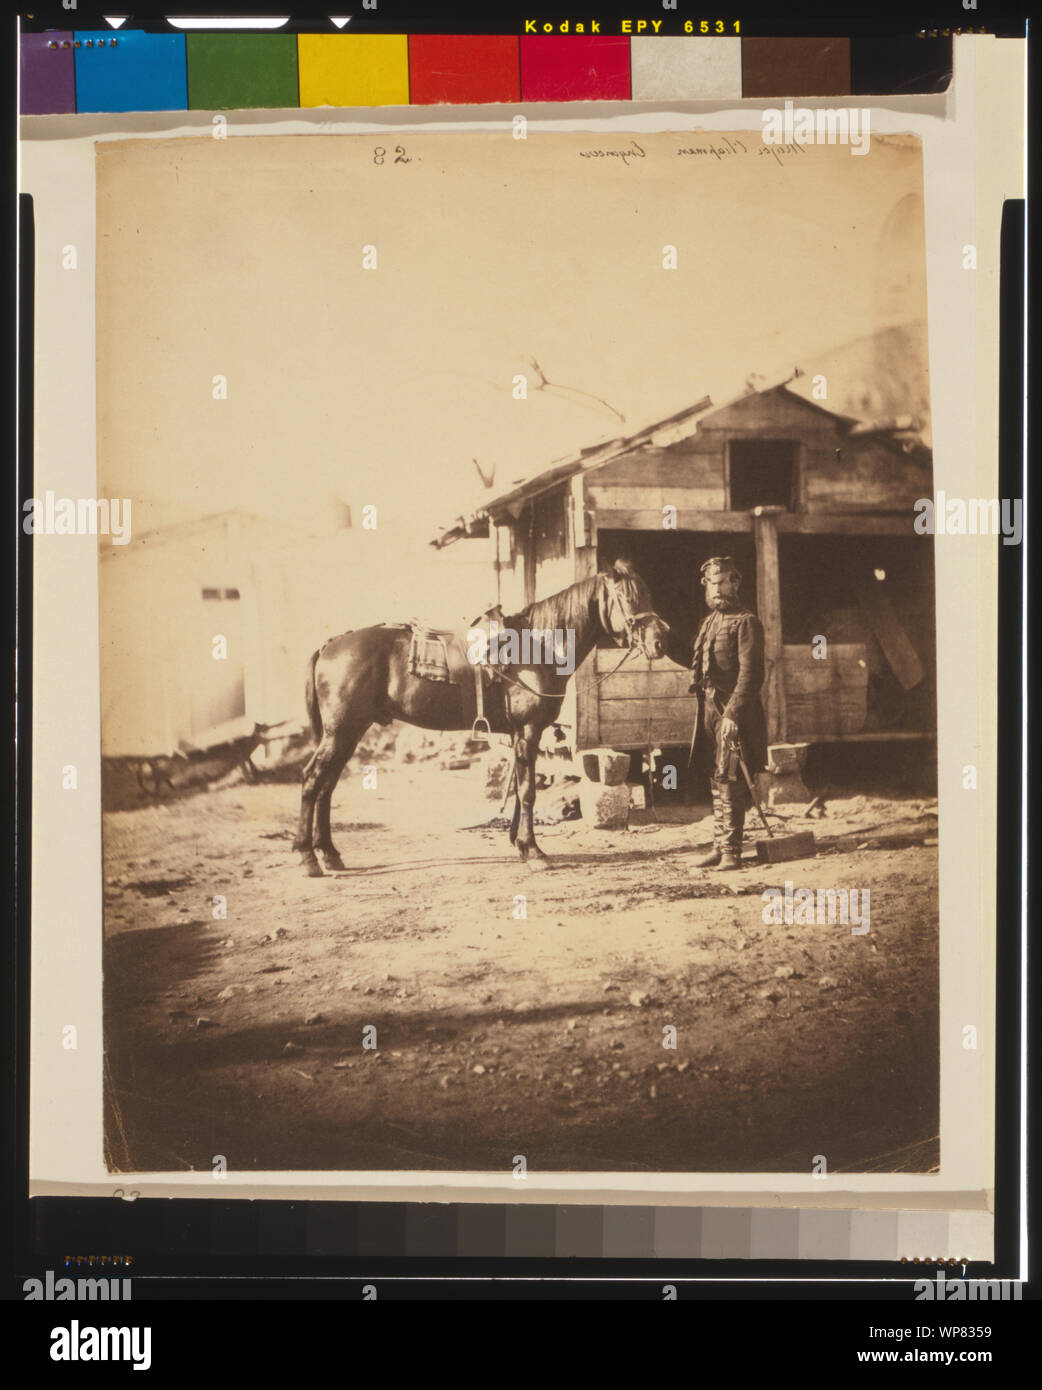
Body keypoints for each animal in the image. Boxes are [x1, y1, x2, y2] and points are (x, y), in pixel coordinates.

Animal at [291, 558, 669, 872]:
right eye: (627, 597)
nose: (659, 641)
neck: (537, 647)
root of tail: (330, 644)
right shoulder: (529, 730)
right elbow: (528, 791)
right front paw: (535, 852)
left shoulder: (519, 734)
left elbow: (519, 787)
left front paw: (519, 845)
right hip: (341, 732)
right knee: (312, 780)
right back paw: (307, 856)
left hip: (348, 733)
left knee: (326, 786)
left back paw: (330, 854)